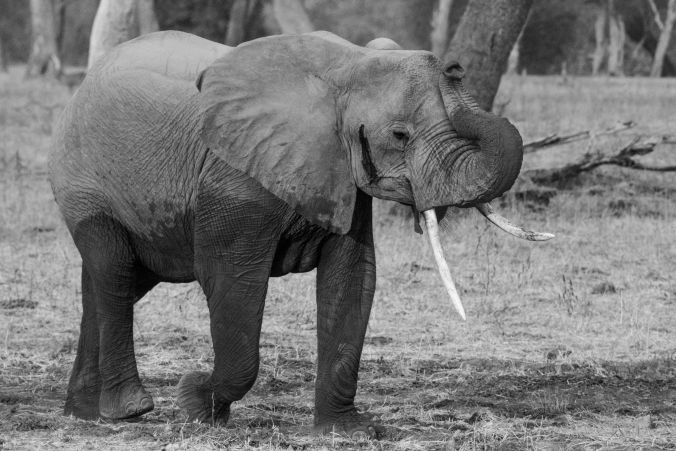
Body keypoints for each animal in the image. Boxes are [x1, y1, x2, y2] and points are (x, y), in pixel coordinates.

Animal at [49, 30, 552, 438]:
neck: (345, 66)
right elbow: (231, 280)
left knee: (109, 283)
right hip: (84, 183)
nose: (453, 68)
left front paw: (348, 431)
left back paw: (83, 412)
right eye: (399, 135)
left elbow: (353, 278)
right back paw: (129, 410)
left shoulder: (343, 174)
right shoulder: (235, 179)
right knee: (114, 271)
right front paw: (195, 403)